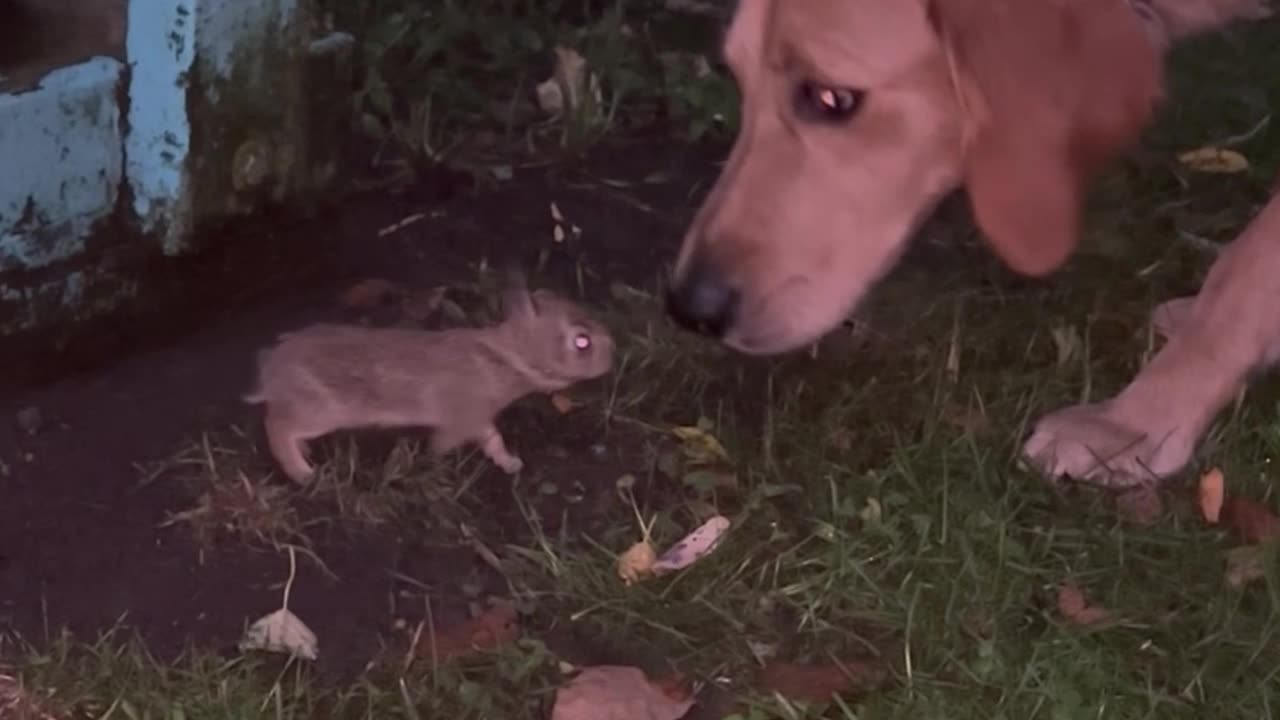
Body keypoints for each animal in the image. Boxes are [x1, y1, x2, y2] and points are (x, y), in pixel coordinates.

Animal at [245, 272, 619, 481]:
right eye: (582, 342)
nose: (612, 355)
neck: (508, 356)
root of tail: (270, 372)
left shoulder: (479, 418)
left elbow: (493, 439)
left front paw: (511, 464)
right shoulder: (464, 415)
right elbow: (454, 440)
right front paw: (435, 456)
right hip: (321, 409)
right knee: (278, 427)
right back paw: (302, 473)